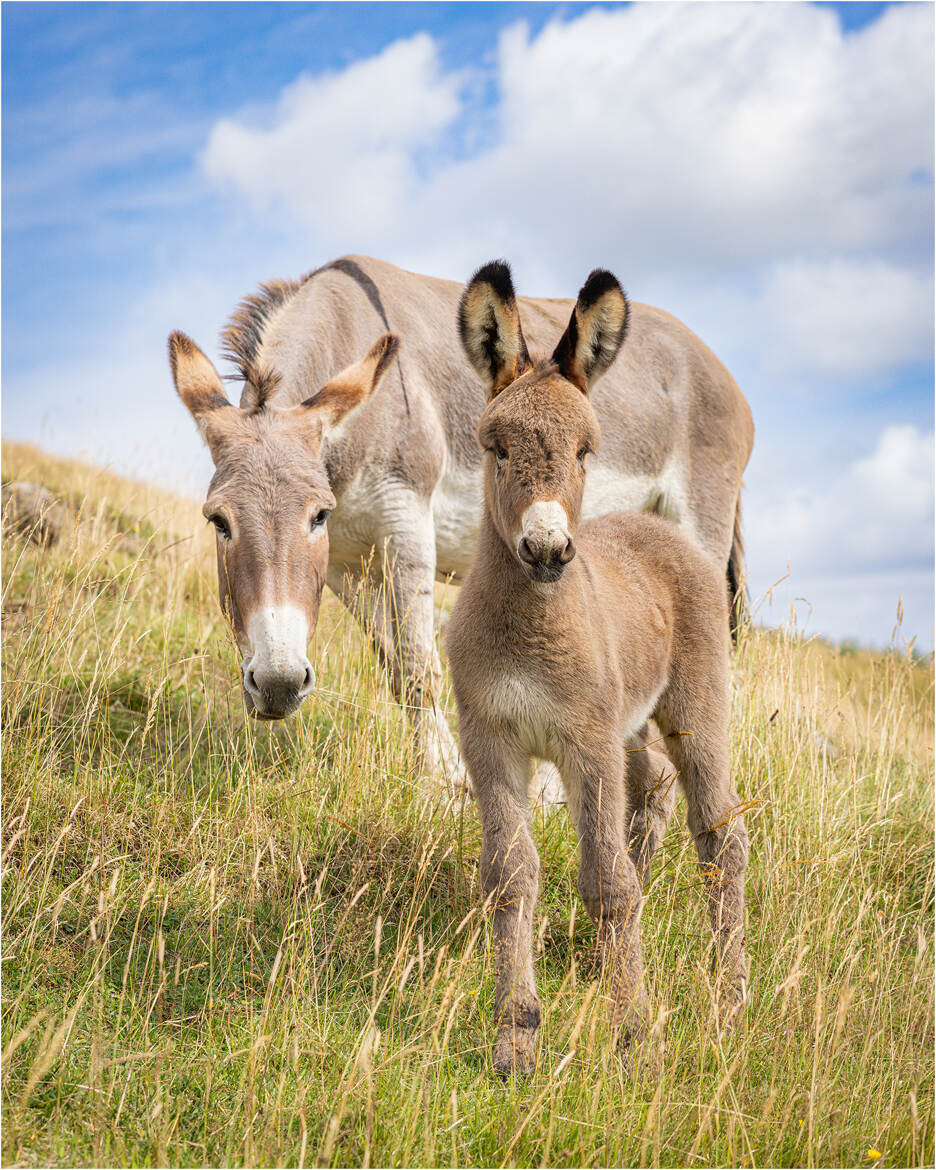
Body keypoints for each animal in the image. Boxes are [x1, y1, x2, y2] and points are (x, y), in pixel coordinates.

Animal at [446, 265, 753, 1076]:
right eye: (495, 448)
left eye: (585, 451)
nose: (548, 550)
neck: (531, 629)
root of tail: (657, 528)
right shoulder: (491, 739)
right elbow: (511, 875)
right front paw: (517, 1039)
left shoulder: (585, 744)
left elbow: (607, 882)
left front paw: (636, 1040)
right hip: (631, 730)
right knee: (653, 797)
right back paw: (605, 964)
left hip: (695, 712)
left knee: (719, 837)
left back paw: (731, 1003)